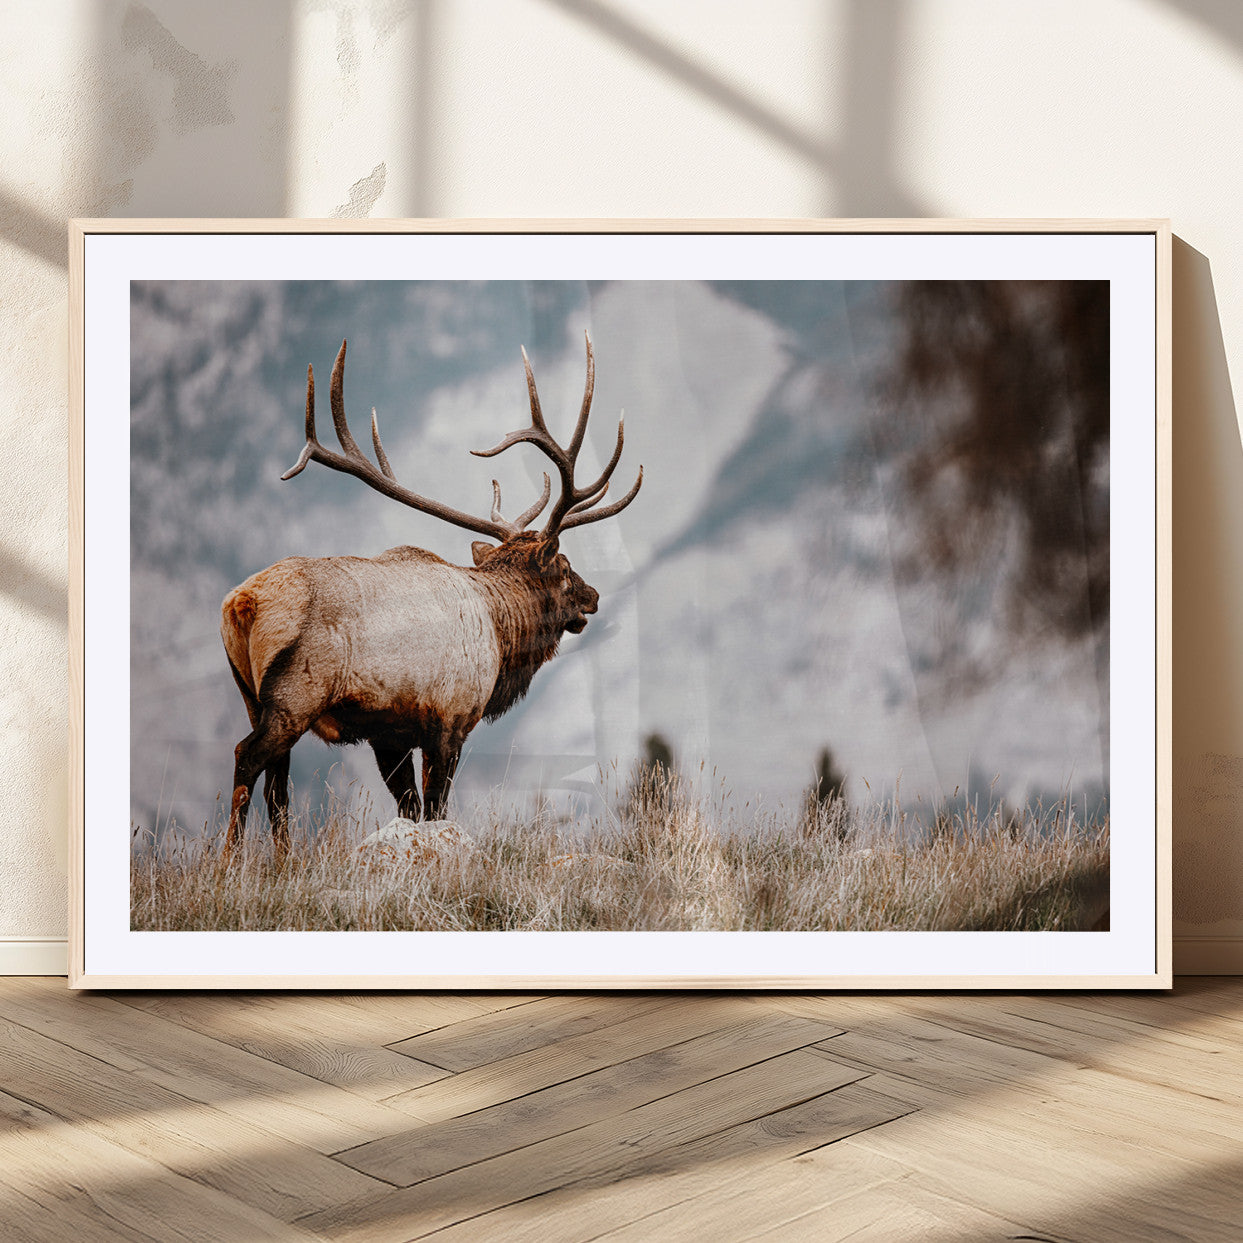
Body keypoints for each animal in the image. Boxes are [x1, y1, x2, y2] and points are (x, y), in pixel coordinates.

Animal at [219, 333, 641, 860]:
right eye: (564, 567)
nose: (593, 596)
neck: (501, 636)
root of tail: (243, 603)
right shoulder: (452, 717)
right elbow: (437, 807)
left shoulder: (389, 733)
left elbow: (411, 808)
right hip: (295, 695)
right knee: (247, 758)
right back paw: (227, 860)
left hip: (251, 695)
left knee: (277, 784)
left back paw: (282, 860)